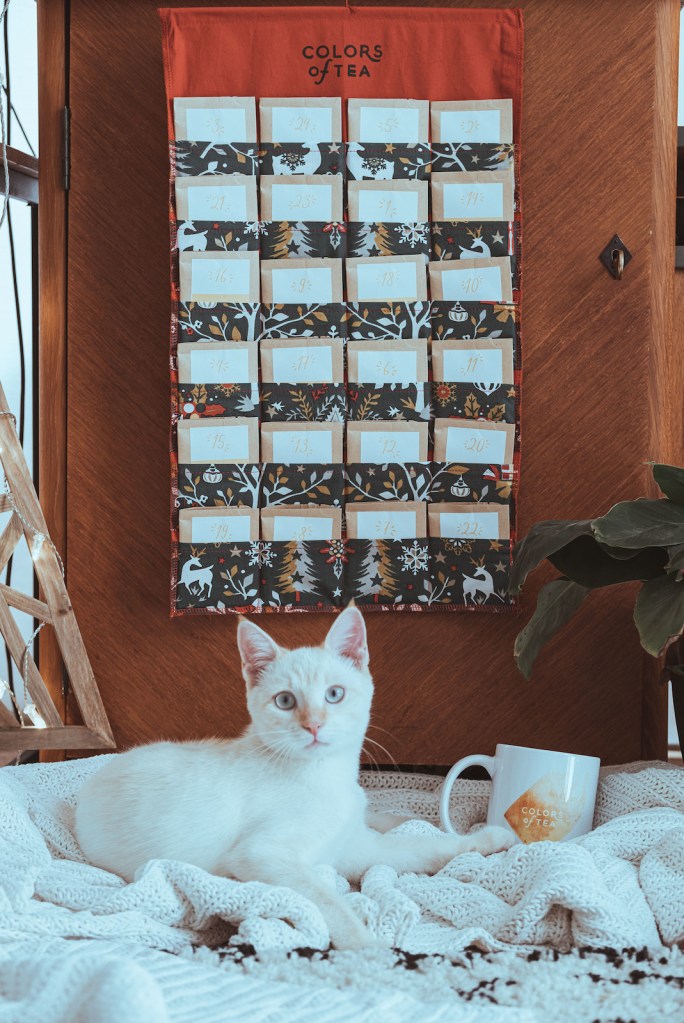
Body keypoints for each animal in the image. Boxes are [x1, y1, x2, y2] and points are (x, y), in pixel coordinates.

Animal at [75, 606, 513, 948]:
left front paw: (487, 840)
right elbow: (326, 897)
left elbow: (426, 848)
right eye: (285, 701)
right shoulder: (261, 855)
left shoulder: (356, 848)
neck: (329, 778)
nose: (314, 725)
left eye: (334, 694)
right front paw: (369, 947)